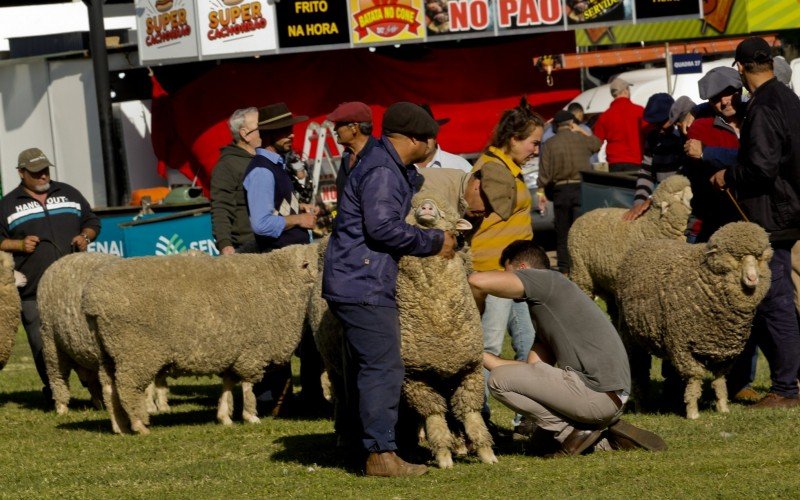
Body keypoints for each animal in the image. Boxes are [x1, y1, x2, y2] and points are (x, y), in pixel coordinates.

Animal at [616, 222, 772, 418]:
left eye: (759, 258)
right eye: (736, 258)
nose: (752, 278)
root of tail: (645, 243)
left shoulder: (725, 350)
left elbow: (720, 380)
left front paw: (723, 408)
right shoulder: (683, 347)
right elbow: (695, 377)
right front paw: (692, 412)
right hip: (631, 337)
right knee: (638, 372)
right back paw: (640, 407)